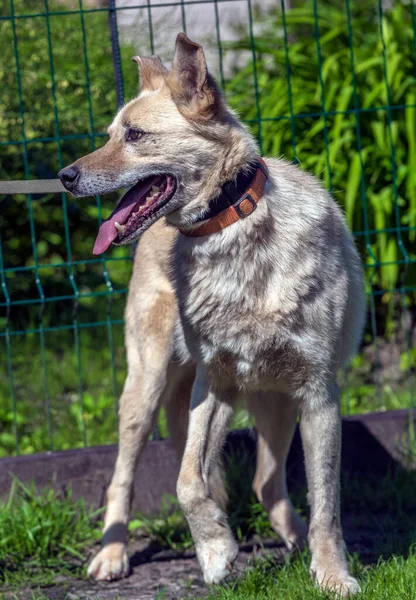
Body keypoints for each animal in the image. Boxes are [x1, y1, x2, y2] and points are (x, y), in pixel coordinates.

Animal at [58, 32, 364, 596]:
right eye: (110, 135)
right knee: (122, 479)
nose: (64, 176)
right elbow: (185, 481)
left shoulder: (319, 394)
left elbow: (327, 504)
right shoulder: (214, 382)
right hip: (147, 386)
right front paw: (218, 552)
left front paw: (332, 575)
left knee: (267, 483)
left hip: (275, 401)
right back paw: (112, 555)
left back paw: (293, 541)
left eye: (135, 135)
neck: (232, 228)